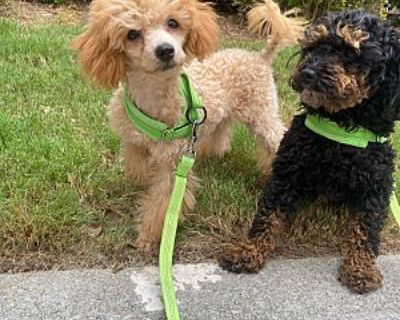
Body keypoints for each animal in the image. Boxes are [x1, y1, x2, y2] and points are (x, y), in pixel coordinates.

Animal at [220, 9, 398, 296]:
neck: (339, 128)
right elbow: (267, 216)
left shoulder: (377, 188)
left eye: (352, 53)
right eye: (315, 47)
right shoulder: (287, 174)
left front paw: (361, 268)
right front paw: (248, 251)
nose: (308, 72)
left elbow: (366, 229)